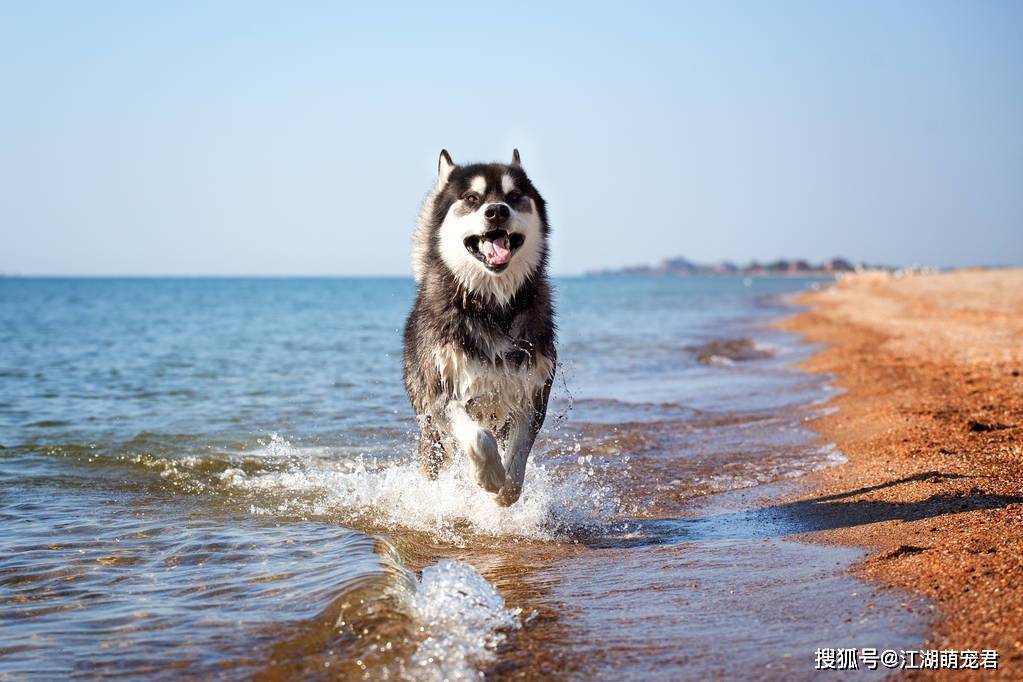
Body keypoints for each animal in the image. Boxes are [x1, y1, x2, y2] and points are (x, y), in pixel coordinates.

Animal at [403, 150, 556, 507]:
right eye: (472, 198)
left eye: (514, 197)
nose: (497, 210)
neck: (491, 306)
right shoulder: (442, 396)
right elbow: (479, 438)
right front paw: (490, 476)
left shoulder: (531, 394)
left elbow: (519, 454)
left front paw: (507, 490)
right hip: (430, 431)